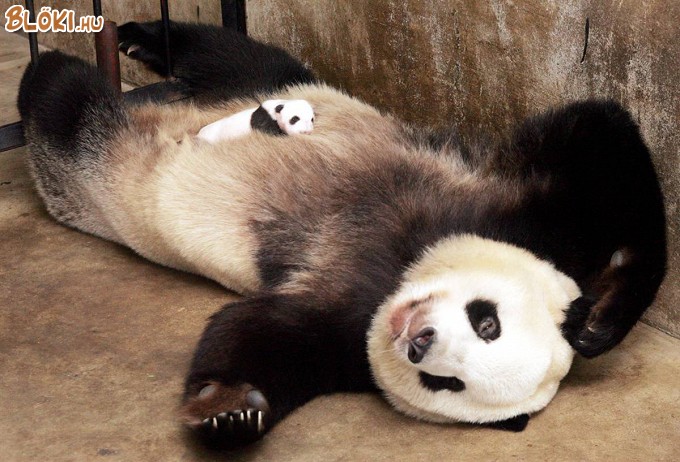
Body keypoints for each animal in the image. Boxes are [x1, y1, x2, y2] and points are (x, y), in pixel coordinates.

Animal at [17, 20, 666, 448]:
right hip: (272, 94)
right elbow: (600, 134)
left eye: (446, 382)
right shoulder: (511, 214)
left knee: (75, 103)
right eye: (489, 322)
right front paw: (600, 320)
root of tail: (182, 115)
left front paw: (231, 411)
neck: (408, 266)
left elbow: (259, 333)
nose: (419, 340)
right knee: (206, 62)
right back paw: (127, 41)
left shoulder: (346, 325)